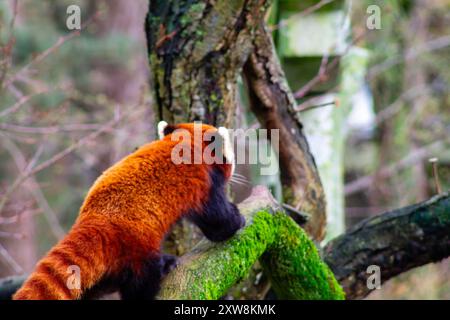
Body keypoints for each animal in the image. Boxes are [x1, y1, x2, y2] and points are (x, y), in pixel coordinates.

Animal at [13, 122, 246, 300]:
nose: (233, 171)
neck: (188, 142)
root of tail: (95, 218)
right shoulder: (203, 183)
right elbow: (217, 218)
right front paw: (238, 221)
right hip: (136, 246)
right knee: (142, 282)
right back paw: (163, 266)